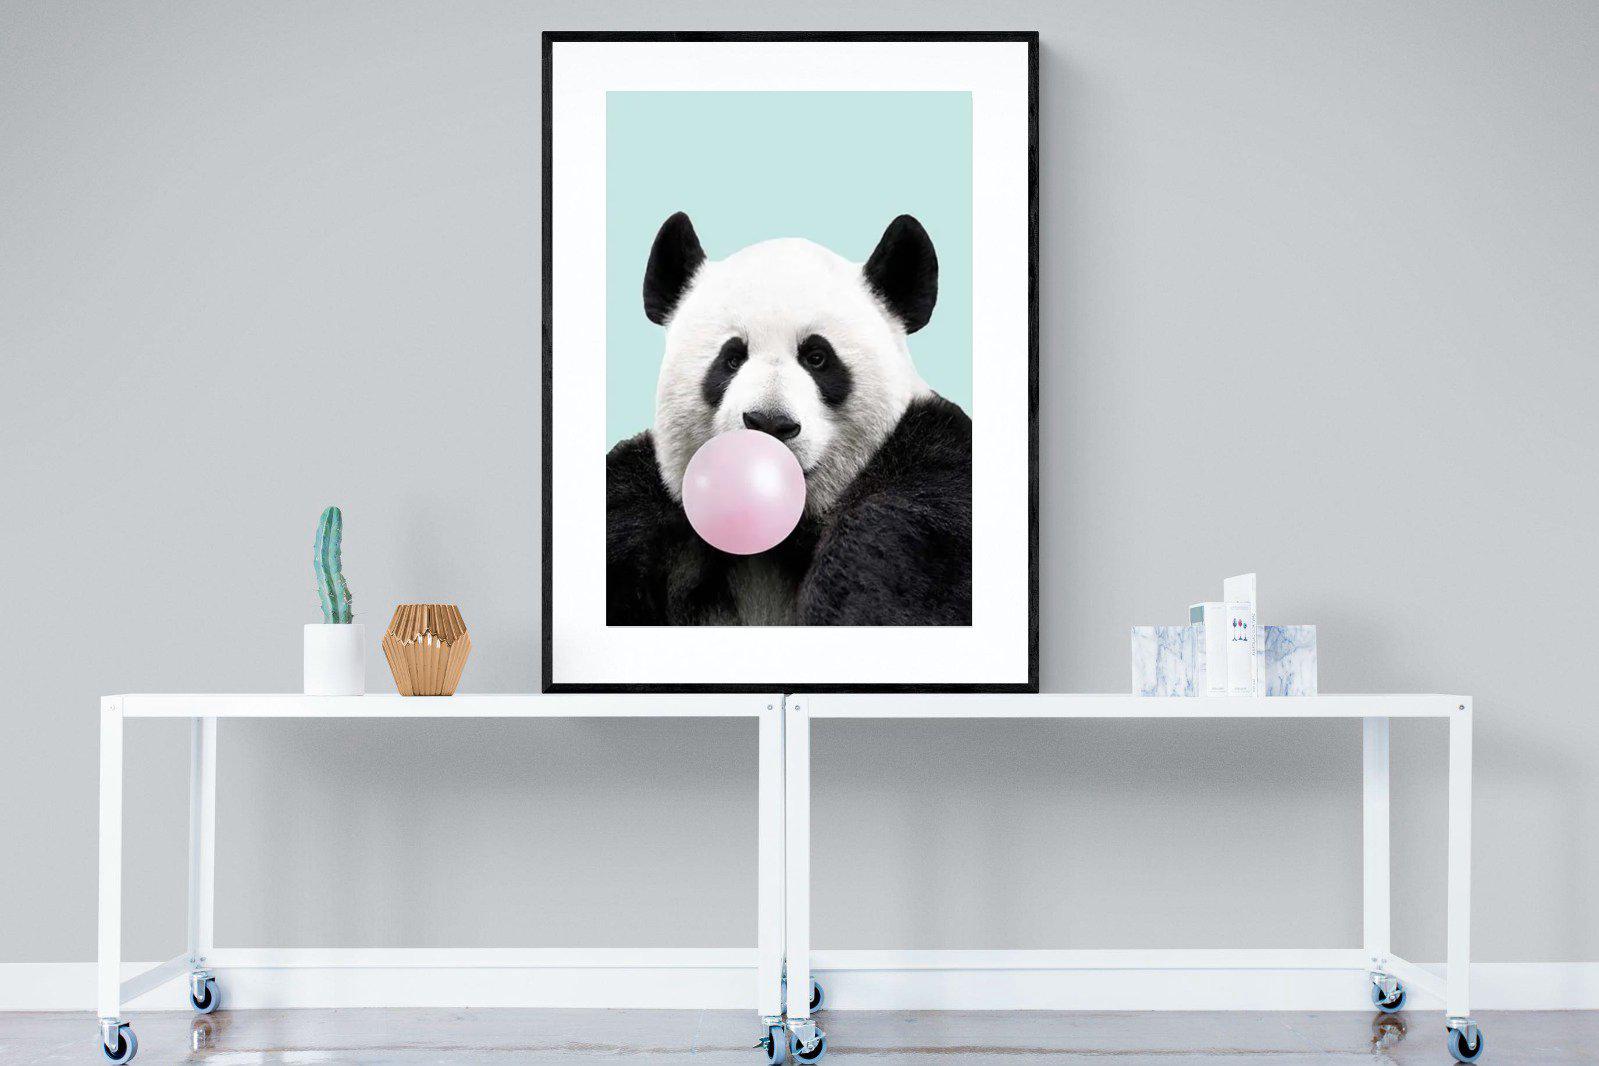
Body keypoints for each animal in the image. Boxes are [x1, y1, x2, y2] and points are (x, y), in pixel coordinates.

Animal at [606, 212, 972, 626]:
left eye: (817, 357)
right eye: (732, 358)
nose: (769, 423)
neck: (778, 538)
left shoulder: (932, 477)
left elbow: (895, 551)